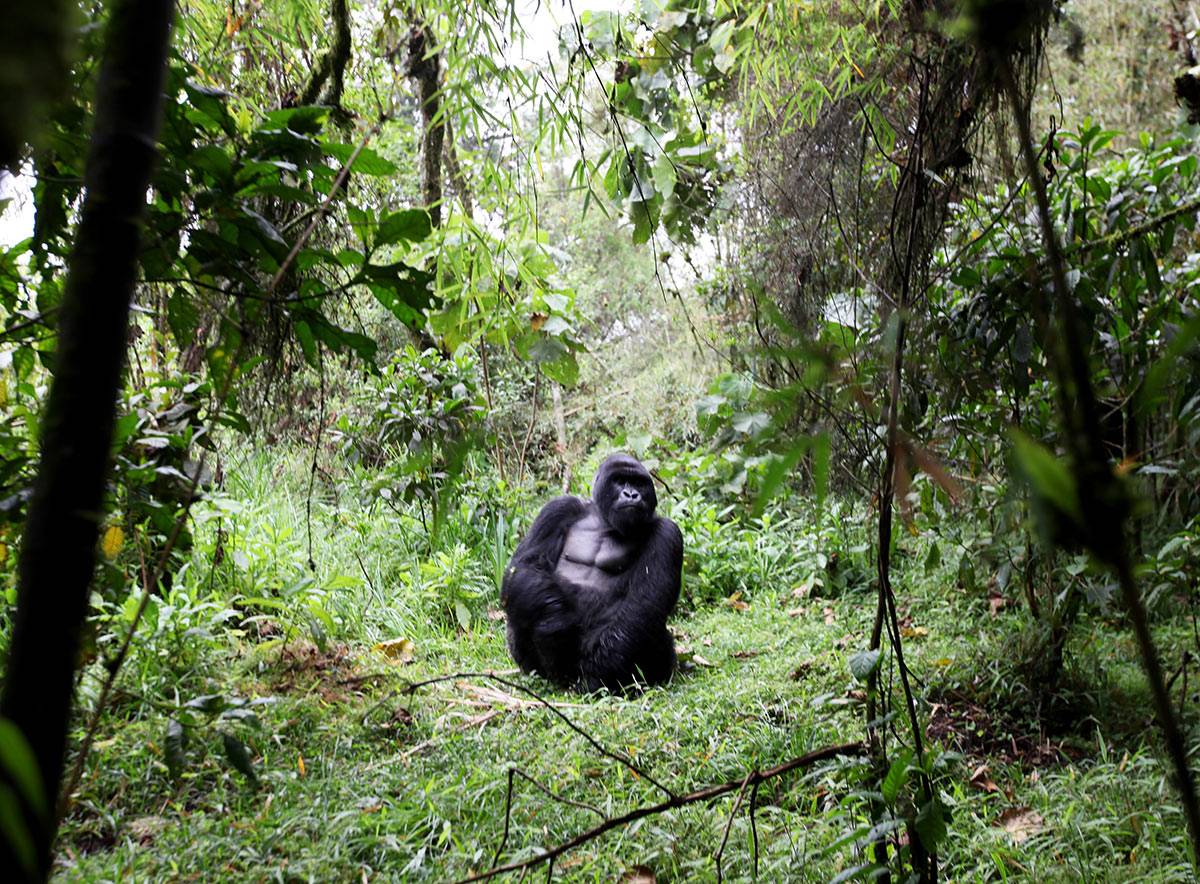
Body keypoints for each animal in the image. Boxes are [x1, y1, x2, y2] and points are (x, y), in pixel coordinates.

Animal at [499, 455, 686, 690]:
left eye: (639, 483)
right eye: (620, 481)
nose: (631, 494)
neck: (604, 521)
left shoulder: (667, 532)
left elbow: (644, 602)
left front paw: (597, 677)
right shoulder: (558, 508)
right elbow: (525, 566)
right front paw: (555, 621)